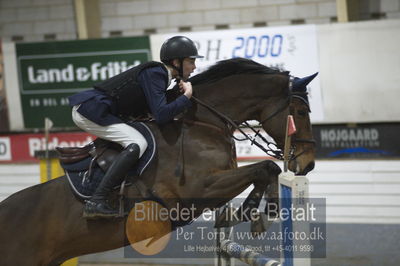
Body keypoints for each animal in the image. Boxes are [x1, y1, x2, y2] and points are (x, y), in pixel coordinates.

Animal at [0, 57, 316, 264]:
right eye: (300, 112)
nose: (309, 164)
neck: (202, 122)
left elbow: (265, 171)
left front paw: (247, 213)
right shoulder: (199, 190)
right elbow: (266, 167)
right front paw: (259, 213)